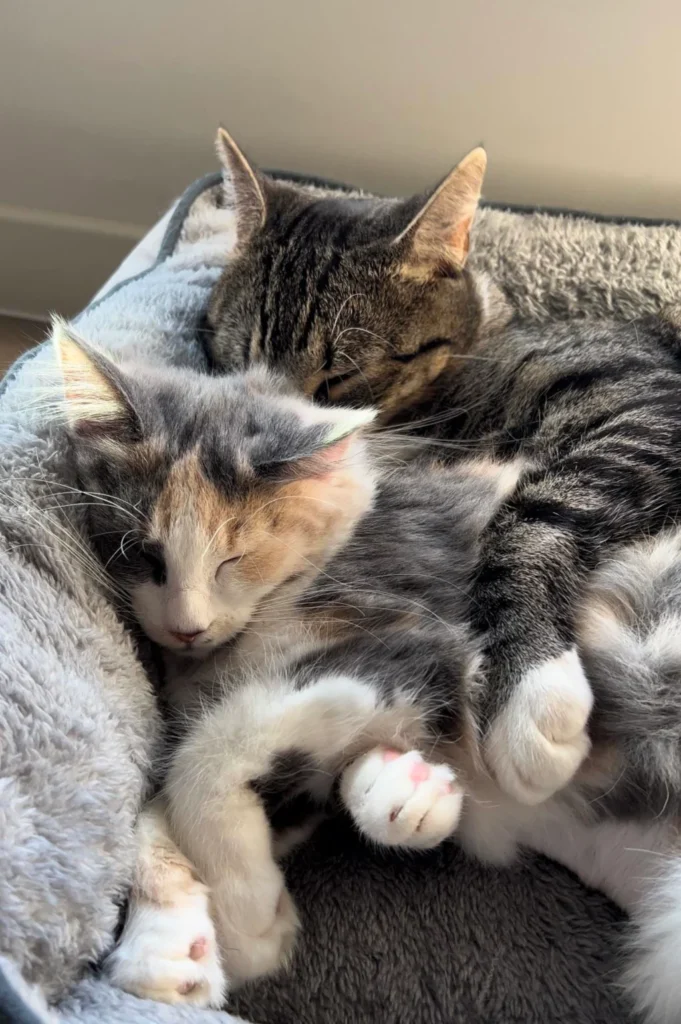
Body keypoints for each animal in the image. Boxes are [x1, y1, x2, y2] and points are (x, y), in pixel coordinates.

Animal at [49, 313, 681, 1024]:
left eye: (234, 559)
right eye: (143, 554)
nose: (186, 627)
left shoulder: (415, 639)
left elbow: (204, 751)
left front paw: (246, 916)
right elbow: (156, 804)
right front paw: (167, 948)